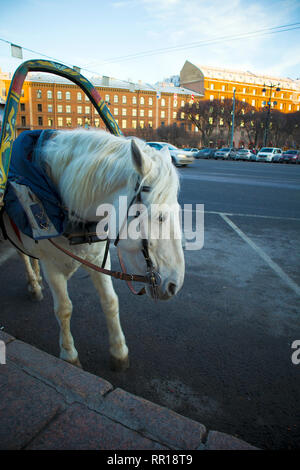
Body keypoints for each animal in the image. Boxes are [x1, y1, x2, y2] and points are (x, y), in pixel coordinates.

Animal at [2, 129, 185, 370]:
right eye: (160, 216)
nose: (175, 285)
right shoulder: (52, 266)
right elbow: (64, 309)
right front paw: (69, 354)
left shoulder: (99, 259)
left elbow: (110, 302)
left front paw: (119, 351)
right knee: (24, 255)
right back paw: (33, 284)